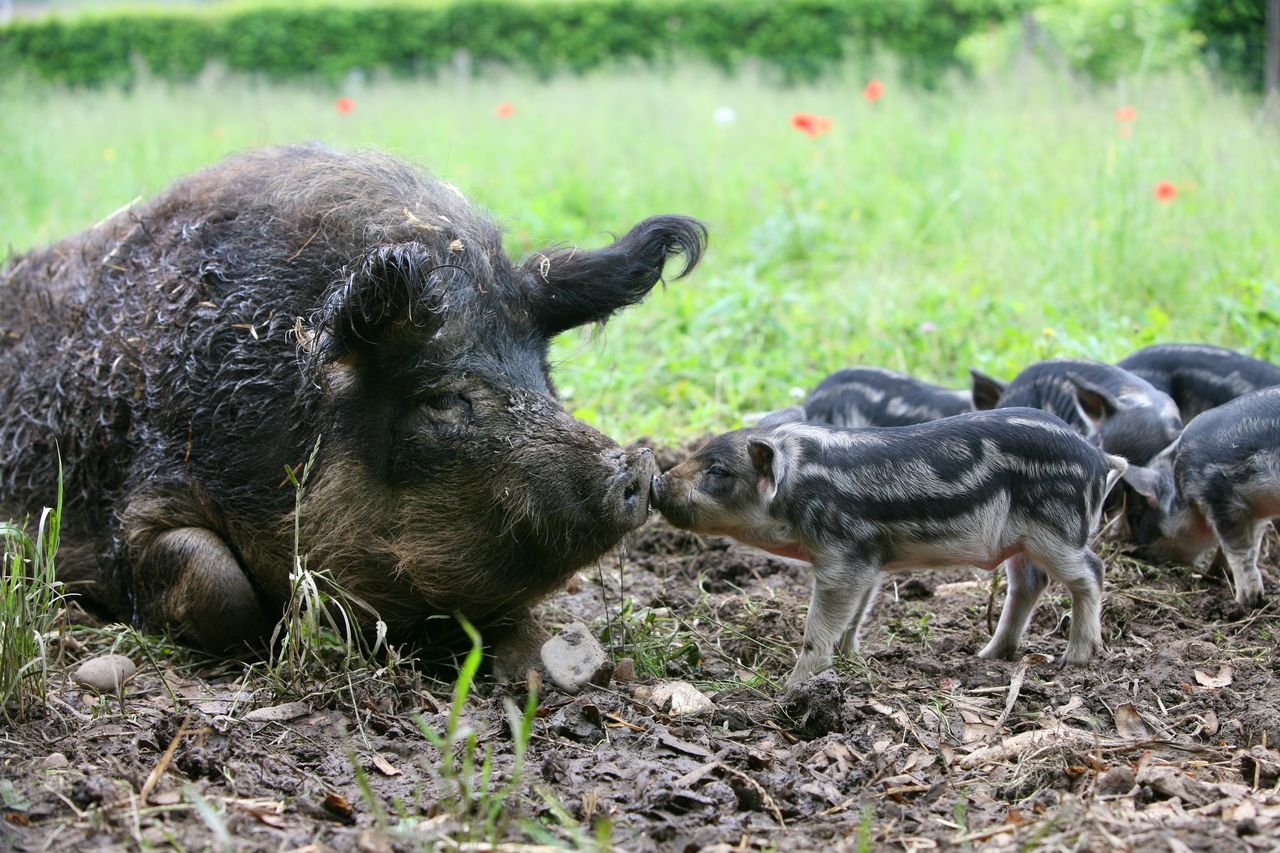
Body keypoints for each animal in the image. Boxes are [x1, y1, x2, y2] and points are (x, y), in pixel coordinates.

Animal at [651, 409, 1126, 685]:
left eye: (718, 470)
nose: (656, 481)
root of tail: (1101, 459)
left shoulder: (844, 555)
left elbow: (817, 628)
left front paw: (793, 685)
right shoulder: (868, 561)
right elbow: (854, 617)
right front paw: (851, 661)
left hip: (1056, 530)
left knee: (1091, 572)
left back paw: (1073, 661)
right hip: (1024, 542)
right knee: (1030, 582)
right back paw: (988, 654)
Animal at [1118, 386, 1280, 609]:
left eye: (1137, 517)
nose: (1136, 552)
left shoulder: (1219, 496)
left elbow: (1238, 551)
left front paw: (1243, 603)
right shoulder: (1255, 513)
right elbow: (1250, 546)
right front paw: (1214, 575)